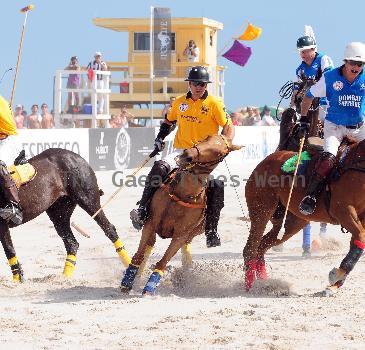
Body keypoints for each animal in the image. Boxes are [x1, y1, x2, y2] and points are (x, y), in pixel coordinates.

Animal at [0, 148, 129, 282]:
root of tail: (78, 156)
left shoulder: (2, 224)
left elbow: (9, 249)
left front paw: (17, 280)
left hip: (88, 200)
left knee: (109, 229)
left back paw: (130, 267)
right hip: (59, 214)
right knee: (71, 243)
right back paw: (64, 278)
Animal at [120, 135, 242, 294]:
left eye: (221, 153)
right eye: (207, 138)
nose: (187, 155)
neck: (181, 194)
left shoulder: (180, 235)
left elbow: (163, 262)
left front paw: (149, 288)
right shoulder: (150, 223)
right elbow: (139, 255)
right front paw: (127, 282)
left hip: (193, 233)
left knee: (185, 250)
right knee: (150, 244)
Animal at [242, 137, 365, 296]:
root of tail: (263, 162)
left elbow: (357, 242)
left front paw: (334, 285)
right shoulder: (344, 211)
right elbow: (360, 237)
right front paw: (337, 275)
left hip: (292, 223)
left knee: (261, 246)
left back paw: (264, 282)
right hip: (261, 210)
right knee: (250, 248)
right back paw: (251, 285)